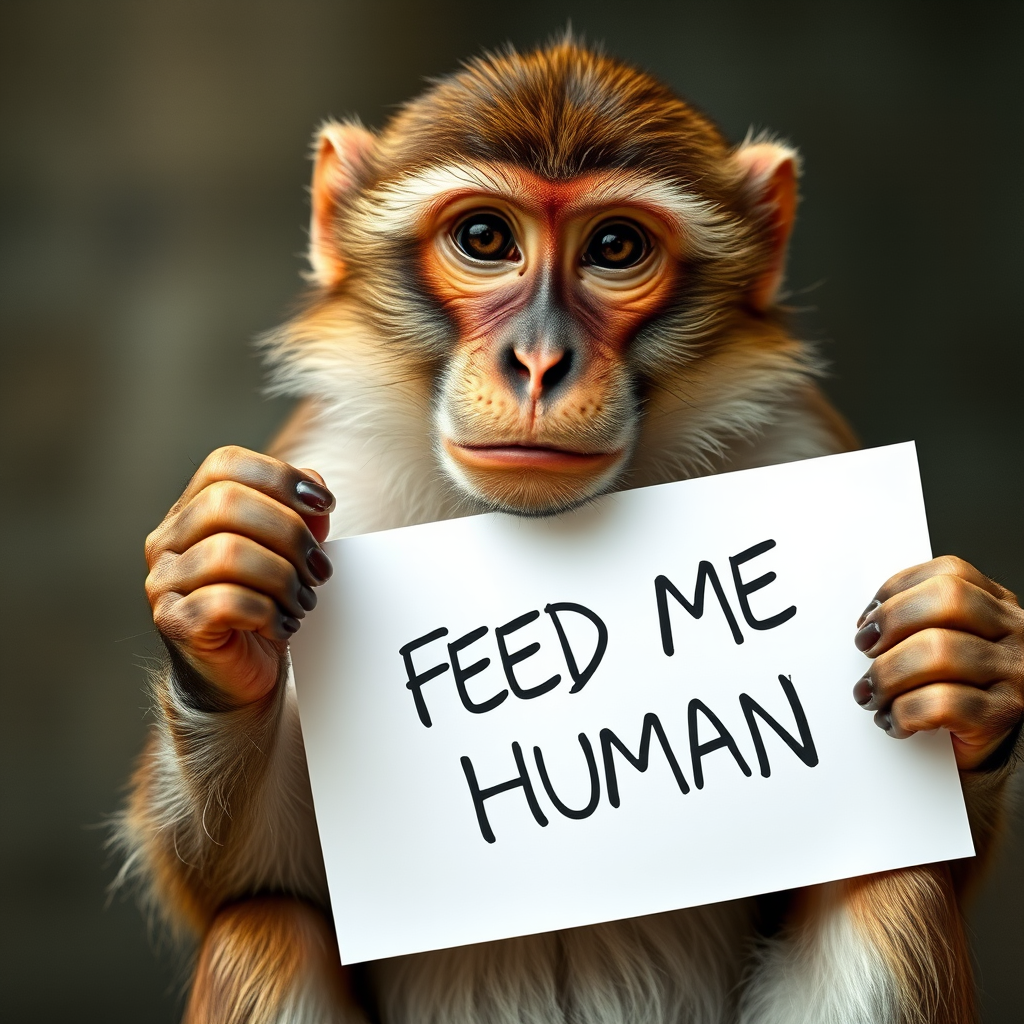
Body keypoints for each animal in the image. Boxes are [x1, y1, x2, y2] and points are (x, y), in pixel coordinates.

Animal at [121, 39, 1024, 1024]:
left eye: (615, 247)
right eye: (485, 239)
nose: (539, 361)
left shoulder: (799, 440)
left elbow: (920, 861)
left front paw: (967, 663)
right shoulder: (331, 466)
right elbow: (254, 880)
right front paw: (218, 609)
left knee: (891, 891)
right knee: (264, 932)